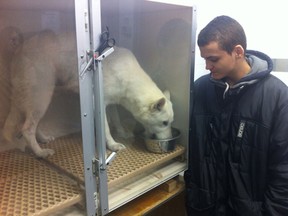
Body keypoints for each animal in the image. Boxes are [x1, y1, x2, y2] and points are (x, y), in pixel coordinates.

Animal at [2, 29, 173, 157]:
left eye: (170, 123)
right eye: (164, 123)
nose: (170, 141)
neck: (128, 76)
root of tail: (20, 46)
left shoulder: (111, 103)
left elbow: (116, 120)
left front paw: (122, 133)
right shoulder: (100, 104)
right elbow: (106, 129)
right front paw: (112, 145)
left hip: (38, 100)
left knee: (30, 124)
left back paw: (43, 139)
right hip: (41, 97)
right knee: (26, 129)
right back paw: (40, 152)